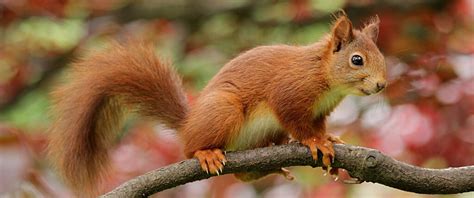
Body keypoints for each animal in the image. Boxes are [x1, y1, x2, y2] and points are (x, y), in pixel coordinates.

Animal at [47, 12, 386, 195]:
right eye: (357, 60)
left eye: (381, 56)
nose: (381, 84)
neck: (323, 74)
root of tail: (188, 124)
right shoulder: (289, 92)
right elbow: (296, 121)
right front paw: (316, 142)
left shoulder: (320, 110)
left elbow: (318, 124)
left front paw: (329, 138)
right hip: (223, 110)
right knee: (191, 148)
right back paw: (206, 152)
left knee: (243, 174)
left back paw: (273, 165)